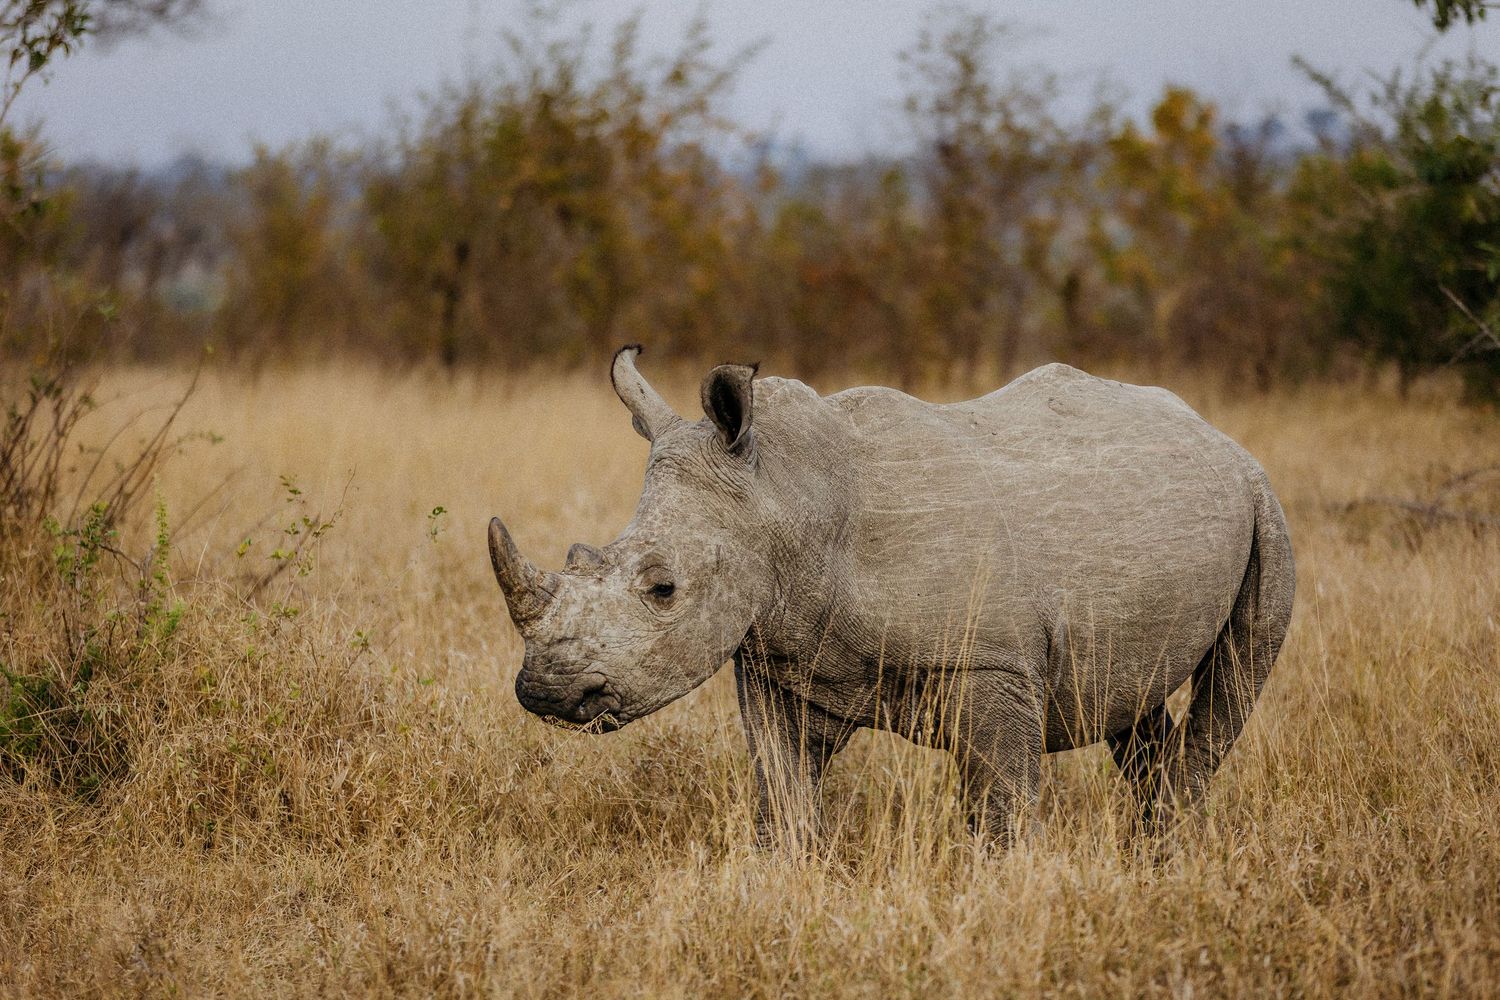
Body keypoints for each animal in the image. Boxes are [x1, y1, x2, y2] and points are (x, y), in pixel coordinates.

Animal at [488, 347, 1295, 847]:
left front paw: (1004, 890)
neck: (785, 496)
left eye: (663, 589)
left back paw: (1164, 850)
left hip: (1264, 505)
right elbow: (783, 793)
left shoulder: (990, 660)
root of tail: (1216, 435)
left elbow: (1000, 806)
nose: (546, 692)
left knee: (1235, 679)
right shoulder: (781, 656)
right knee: (1133, 700)